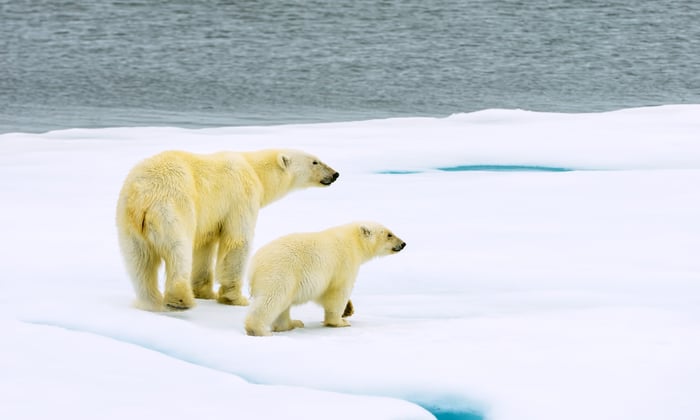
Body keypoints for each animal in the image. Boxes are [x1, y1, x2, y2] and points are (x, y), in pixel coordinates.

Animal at [116, 149, 339, 312]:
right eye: (315, 162)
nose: (335, 174)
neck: (254, 170)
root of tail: (142, 196)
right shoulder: (241, 196)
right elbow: (238, 241)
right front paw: (236, 298)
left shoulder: (211, 216)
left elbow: (205, 246)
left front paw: (205, 292)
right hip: (173, 207)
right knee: (178, 250)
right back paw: (180, 299)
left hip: (127, 222)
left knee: (139, 262)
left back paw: (149, 302)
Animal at [244, 222, 406, 336]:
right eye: (389, 234)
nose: (403, 243)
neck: (353, 240)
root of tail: (253, 265)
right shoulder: (344, 263)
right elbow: (338, 292)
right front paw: (341, 321)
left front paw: (348, 309)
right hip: (281, 272)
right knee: (272, 299)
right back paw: (259, 330)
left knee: (283, 305)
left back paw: (293, 323)